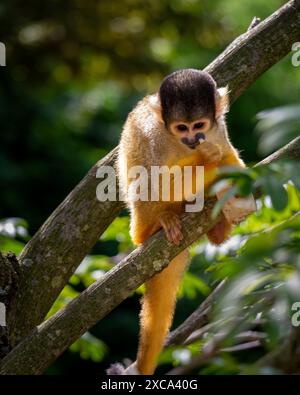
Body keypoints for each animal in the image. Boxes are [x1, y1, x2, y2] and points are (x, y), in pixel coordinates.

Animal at [117, 68, 255, 374]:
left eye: (199, 125)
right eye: (182, 128)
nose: (194, 139)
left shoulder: (217, 129)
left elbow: (228, 153)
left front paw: (236, 174)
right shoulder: (154, 136)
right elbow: (157, 183)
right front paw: (208, 158)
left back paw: (218, 227)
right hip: (139, 218)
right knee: (145, 182)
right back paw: (158, 223)